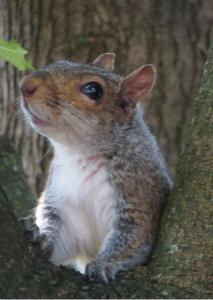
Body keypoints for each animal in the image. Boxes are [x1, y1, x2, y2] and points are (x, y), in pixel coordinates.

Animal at [19, 52, 173, 282]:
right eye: (59, 62)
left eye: (93, 89)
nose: (26, 85)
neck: (81, 156)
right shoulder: (63, 206)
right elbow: (59, 237)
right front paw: (40, 236)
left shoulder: (140, 199)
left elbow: (133, 239)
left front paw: (104, 264)